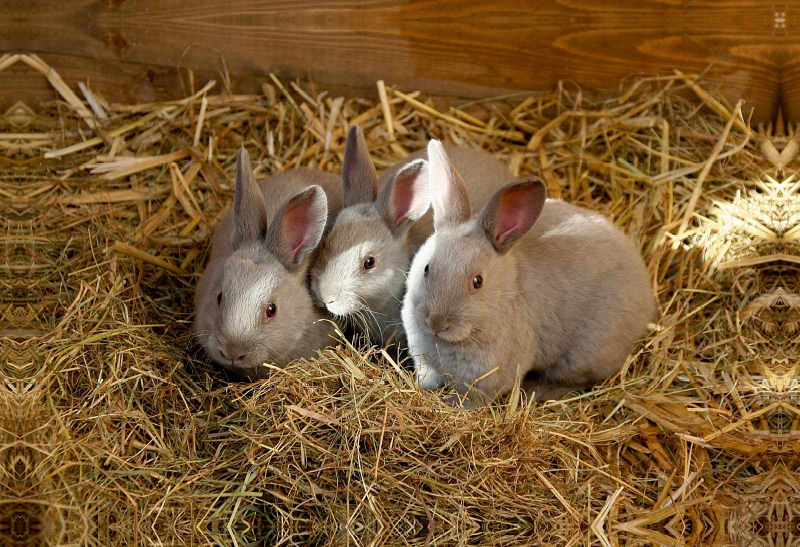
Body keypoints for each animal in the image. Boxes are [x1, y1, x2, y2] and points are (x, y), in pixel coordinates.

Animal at [400, 140, 656, 406]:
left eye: (478, 282)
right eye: (427, 268)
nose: (436, 322)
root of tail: (647, 298)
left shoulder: (483, 382)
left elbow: (467, 400)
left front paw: (451, 407)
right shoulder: (425, 364)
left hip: (583, 357)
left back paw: (535, 390)